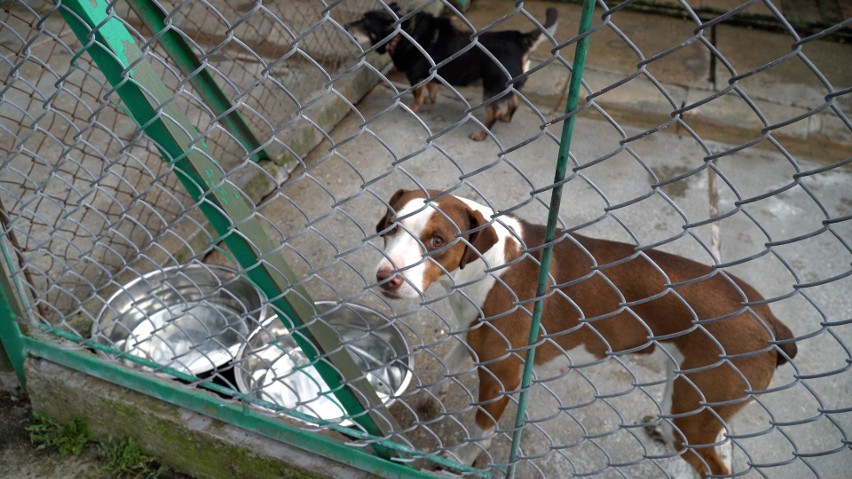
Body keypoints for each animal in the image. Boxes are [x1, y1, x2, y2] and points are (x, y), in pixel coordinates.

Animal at [348, 4, 560, 142]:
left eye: (365, 21)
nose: (347, 25)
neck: (401, 35)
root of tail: (521, 39)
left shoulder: (414, 77)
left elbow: (417, 94)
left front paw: (414, 107)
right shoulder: (429, 73)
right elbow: (431, 88)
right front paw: (430, 100)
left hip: (492, 88)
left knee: (492, 113)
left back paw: (482, 134)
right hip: (507, 87)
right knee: (513, 103)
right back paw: (506, 118)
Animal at [372, 189, 800, 478]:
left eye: (437, 241)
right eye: (391, 227)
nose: (387, 278)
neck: (486, 263)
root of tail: (769, 319)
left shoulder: (502, 375)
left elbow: (480, 434)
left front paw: (457, 462)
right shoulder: (470, 333)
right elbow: (447, 363)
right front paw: (432, 398)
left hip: (691, 415)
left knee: (713, 465)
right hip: (692, 403)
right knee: (720, 442)